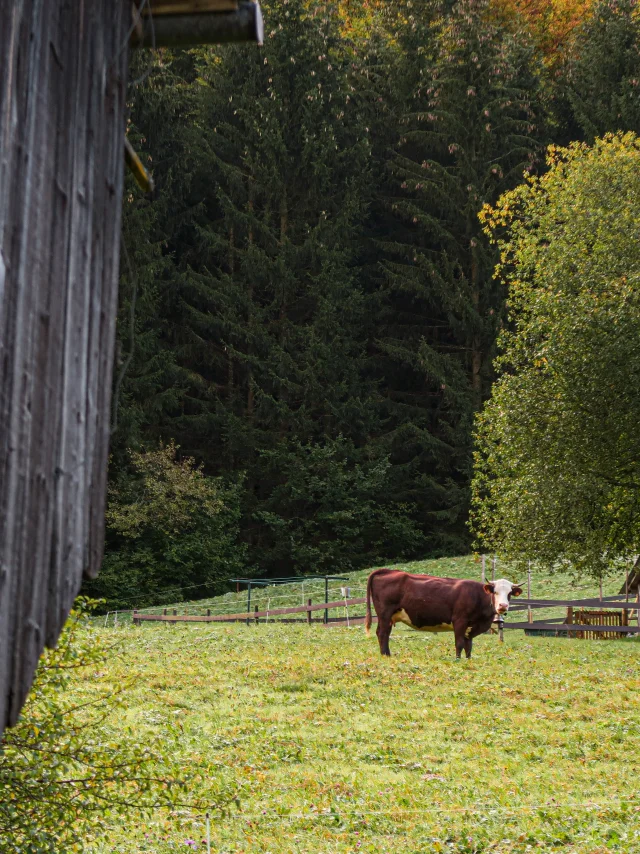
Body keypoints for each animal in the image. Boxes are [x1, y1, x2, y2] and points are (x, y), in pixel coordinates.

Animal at [362, 572, 524, 660]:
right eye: (495, 592)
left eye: (509, 593)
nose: (503, 606)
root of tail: (388, 571)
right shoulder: (459, 621)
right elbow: (459, 643)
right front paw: (458, 660)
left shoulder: (470, 627)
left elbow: (469, 646)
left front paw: (468, 660)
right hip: (384, 614)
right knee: (382, 633)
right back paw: (385, 655)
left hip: (388, 617)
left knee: (384, 634)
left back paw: (387, 654)